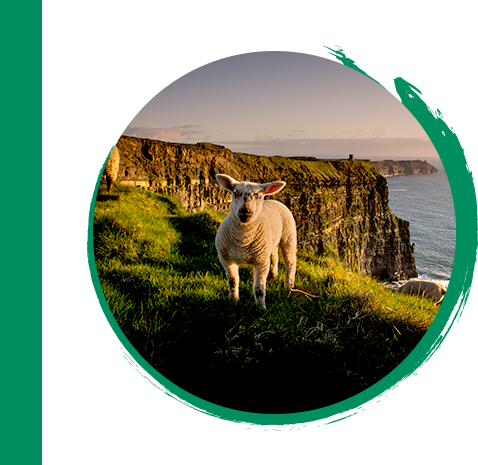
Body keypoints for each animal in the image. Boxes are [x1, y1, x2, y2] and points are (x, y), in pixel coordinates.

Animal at [215, 173, 296, 308]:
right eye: (236, 193)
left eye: (259, 195)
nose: (245, 212)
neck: (242, 240)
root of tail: (274, 200)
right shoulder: (225, 259)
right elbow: (233, 280)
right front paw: (233, 299)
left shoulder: (261, 262)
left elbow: (259, 288)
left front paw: (261, 308)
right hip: (270, 242)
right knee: (274, 256)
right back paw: (273, 275)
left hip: (289, 236)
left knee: (290, 262)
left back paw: (289, 285)